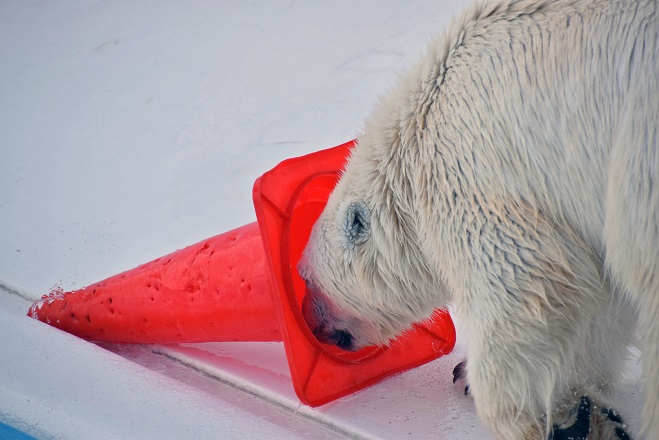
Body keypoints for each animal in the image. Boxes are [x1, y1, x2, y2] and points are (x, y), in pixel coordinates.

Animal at [300, 0, 659, 438]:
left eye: (307, 279)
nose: (311, 322)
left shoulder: (471, 174)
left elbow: (522, 287)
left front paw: (503, 400)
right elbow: (600, 303)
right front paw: (580, 411)